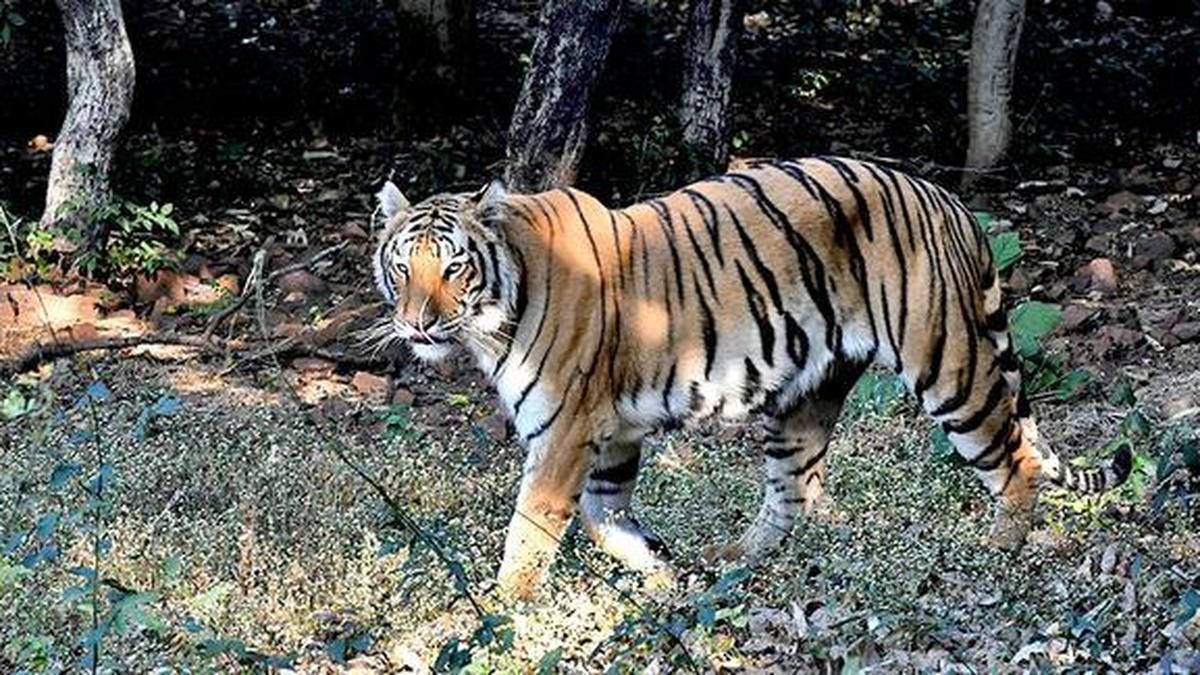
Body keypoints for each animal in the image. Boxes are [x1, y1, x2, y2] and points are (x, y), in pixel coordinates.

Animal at [370, 157, 1132, 600]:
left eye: (454, 266)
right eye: (403, 266)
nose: (416, 324)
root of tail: (950, 200)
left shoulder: (564, 433)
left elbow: (531, 529)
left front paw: (503, 610)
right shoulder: (611, 437)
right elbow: (600, 515)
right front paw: (657, 566)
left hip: (947, 364)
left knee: (1016, 458)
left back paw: (1000, 552)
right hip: (804, 398)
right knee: (794, 492)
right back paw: (733, 557)